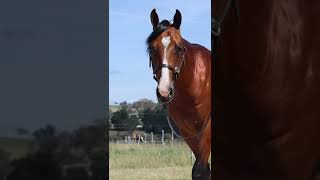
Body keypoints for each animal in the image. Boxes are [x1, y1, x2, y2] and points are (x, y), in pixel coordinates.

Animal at [146, 9, 211, 179]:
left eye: (179, 48)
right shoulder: (187, 130)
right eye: (151, 49)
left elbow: (200, 169)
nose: (164, 92)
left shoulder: (208, 128)